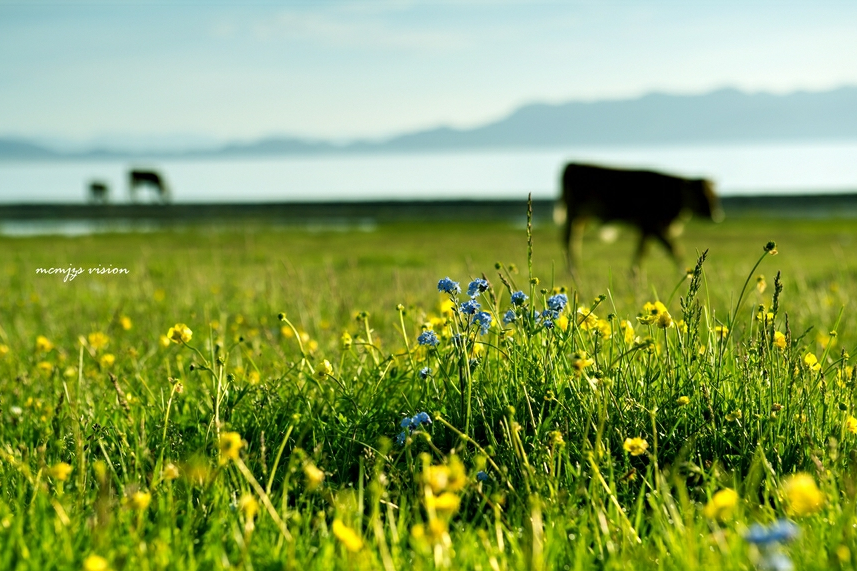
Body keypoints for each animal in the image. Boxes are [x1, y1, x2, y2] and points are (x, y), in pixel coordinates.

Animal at [560, 164, 720, 274]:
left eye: (713, 195)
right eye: (701, 195)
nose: (716, 215)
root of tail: (572, 164)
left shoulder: (647, 228)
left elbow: (642, 250)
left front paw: (634, 273)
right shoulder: (654, 225)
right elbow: (673, 248)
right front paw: (685, 271)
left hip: (581, 217)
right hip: (575, 213)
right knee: (569, 239)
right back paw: (572, 270)